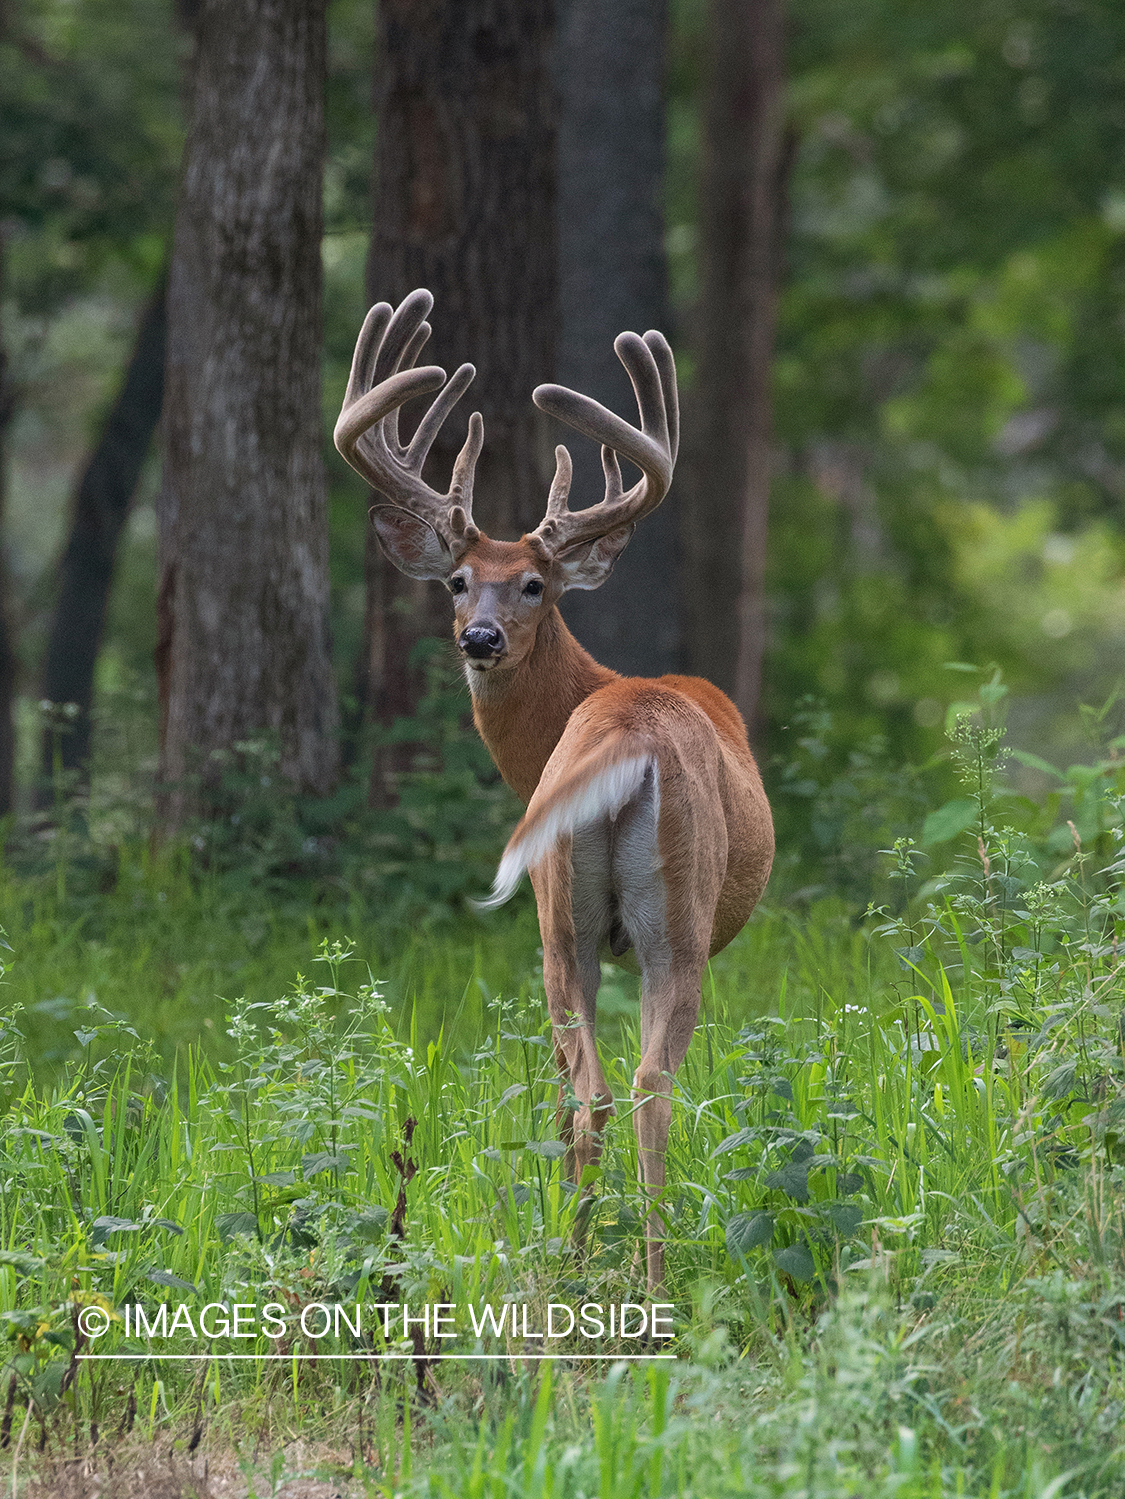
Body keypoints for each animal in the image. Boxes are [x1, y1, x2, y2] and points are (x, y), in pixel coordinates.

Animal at [334, 292, 772, 1289]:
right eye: (459, 580)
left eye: (534, 583)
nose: (480, 637)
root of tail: (625, 736)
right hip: (649, 918)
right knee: (633, 1089)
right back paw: (633, 1269)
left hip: (564, 910)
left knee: (603, 1091)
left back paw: (601, 1263)